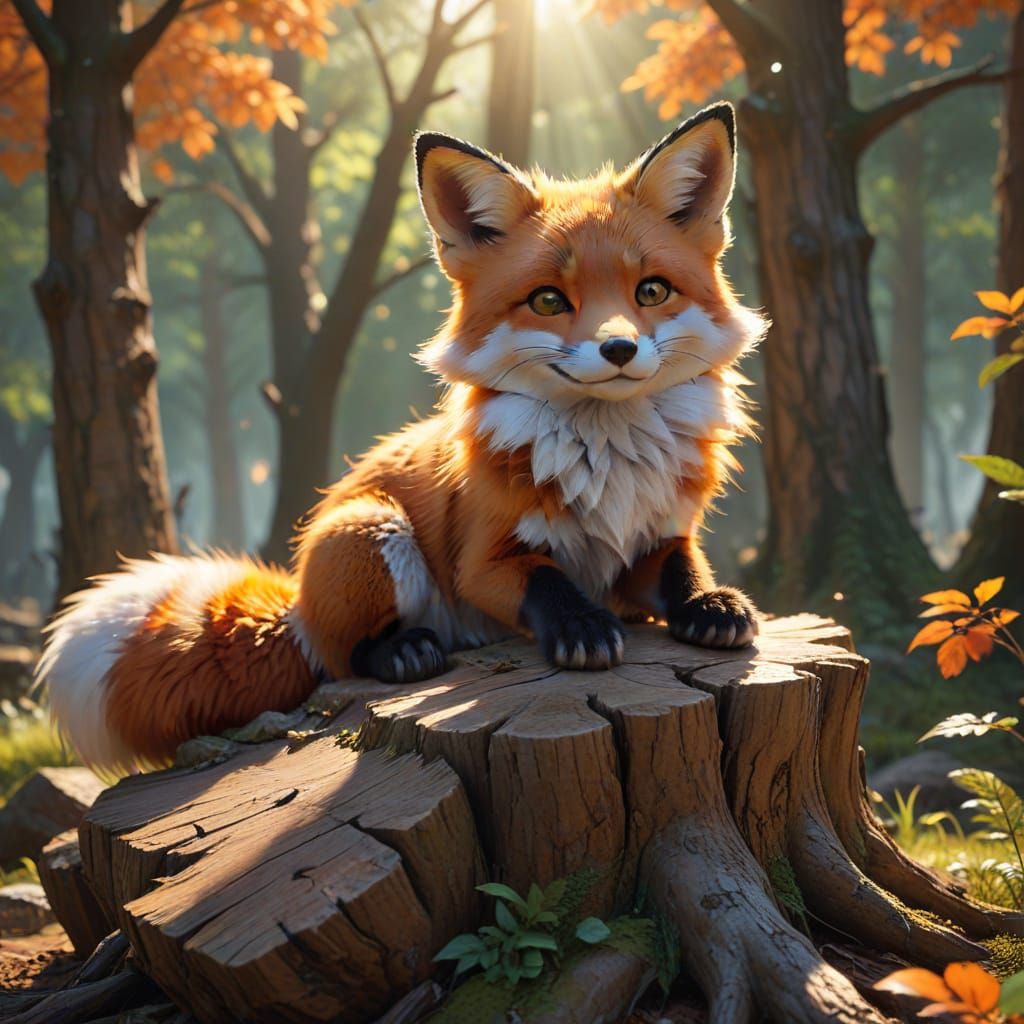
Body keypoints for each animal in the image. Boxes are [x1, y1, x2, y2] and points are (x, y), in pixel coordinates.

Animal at [38, 101, 767, 774]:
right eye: (548, 301)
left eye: (652, 291)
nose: (618, 348)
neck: (609, 460)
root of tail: (296, 604)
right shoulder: (484, 559)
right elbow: (546, 581)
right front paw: (582, 626)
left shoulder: (654, 533)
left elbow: (682, 567)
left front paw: (711, 604)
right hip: (373, 530)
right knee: (341, 659)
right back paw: (405, 650)